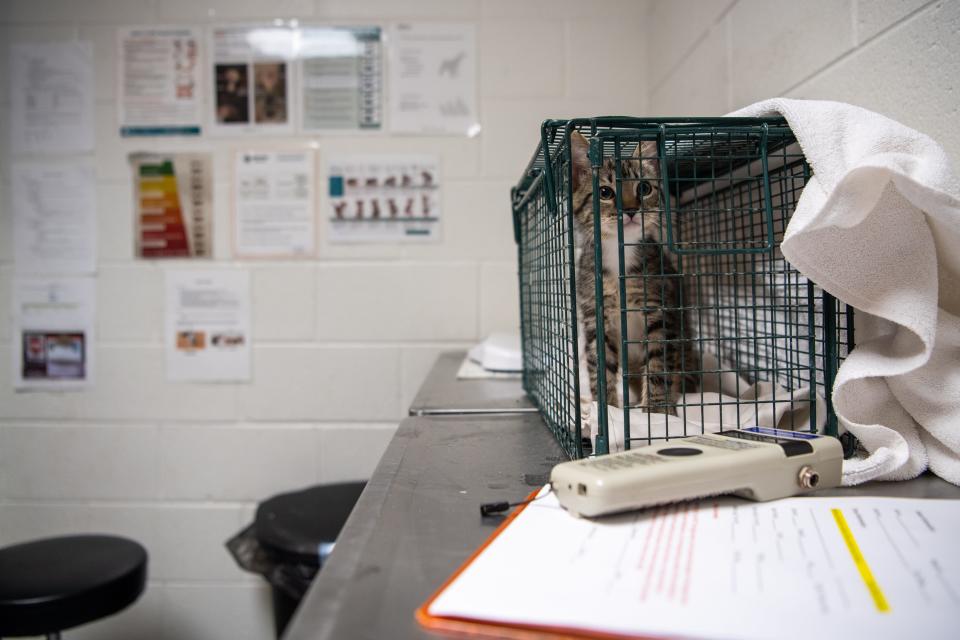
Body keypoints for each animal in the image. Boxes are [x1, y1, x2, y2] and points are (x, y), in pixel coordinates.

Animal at [568, 131, 692, 412]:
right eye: (605, 192)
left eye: (644, 188)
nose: (631, 210)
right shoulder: (596, 315)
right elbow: (600, 365)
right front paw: (607, 407)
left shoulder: (659, 309)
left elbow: (658, 362)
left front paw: (657, 410)